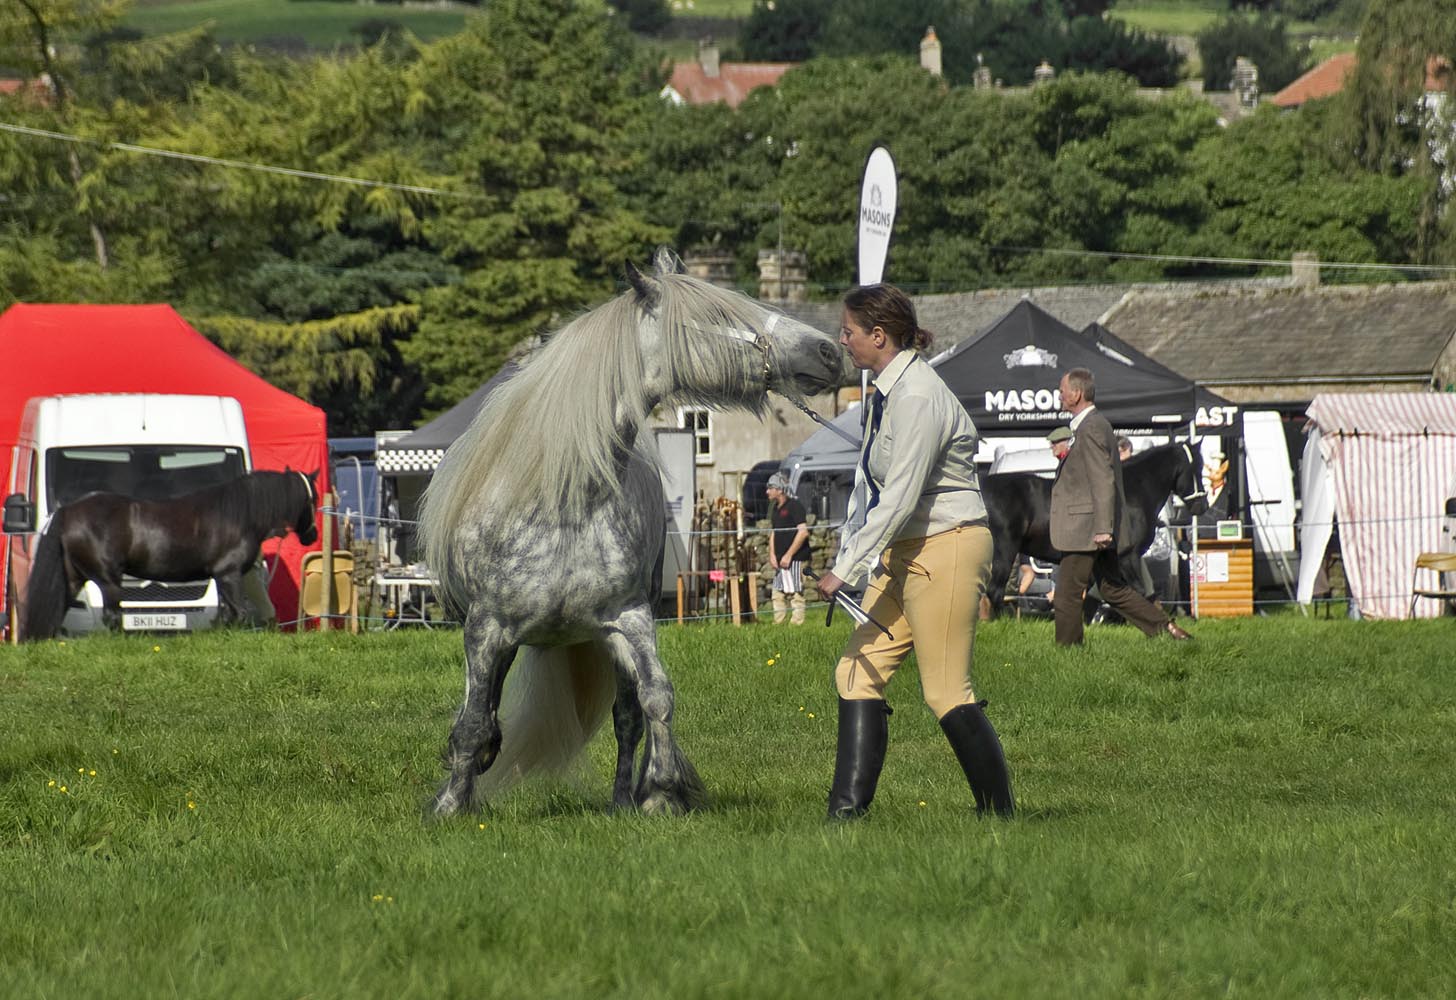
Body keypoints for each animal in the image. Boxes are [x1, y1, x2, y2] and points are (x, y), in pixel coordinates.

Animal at [22, 471, 320, 640]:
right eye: (311, 498)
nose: (312, 535)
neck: (238, 515)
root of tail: (68, 510)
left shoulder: (221, 578)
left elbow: (226, 614)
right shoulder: (230, 574)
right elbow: (240, 612)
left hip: (74, 576)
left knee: (61, 609)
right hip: (107, 579)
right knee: (111, 616)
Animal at [422, 245, 844, 815]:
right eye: (720, 315)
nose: (828, 351)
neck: (564, 505)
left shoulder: (630, 618)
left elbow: (656, 699)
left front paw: (661, 792)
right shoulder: (486, 629)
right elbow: (471, 723)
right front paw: (451, 805)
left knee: (625, 718)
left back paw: (622, 800)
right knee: (482, 711)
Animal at [984, 445, 1211, 614]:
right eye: (1197, 467)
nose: (1202, 506)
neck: (1130, 494)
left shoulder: (1102, 560)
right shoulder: (1127, 555)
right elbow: (1138, 592)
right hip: (1004, 550)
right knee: (994, 591)